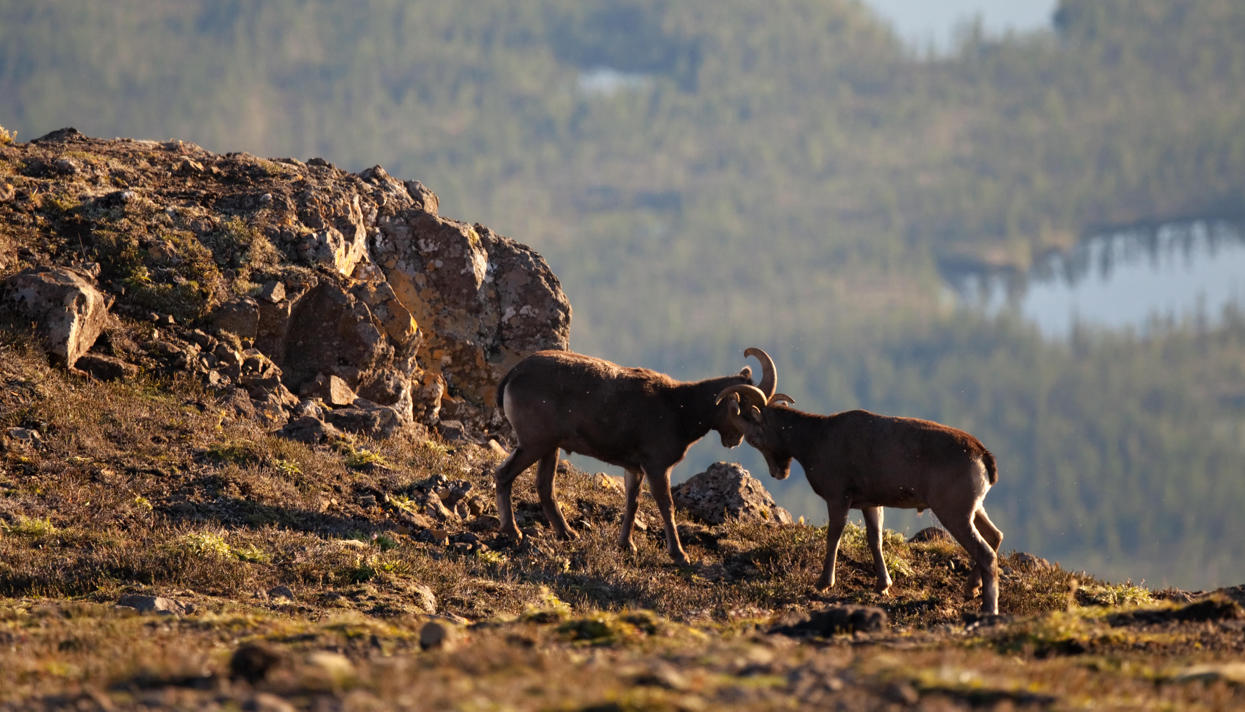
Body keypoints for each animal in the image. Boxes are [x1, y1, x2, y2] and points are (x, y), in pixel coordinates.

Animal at [493, 348, 776, 565]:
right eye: (746, 410)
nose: (735, 441)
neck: (680, 410)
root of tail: (513, 375)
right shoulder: (657, 467)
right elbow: (666, 506)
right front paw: (679, 555)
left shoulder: (635, 469)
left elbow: (632, 503)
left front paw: (627, 545)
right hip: (535, 444)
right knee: (504, 475)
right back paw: (513, 532)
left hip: (549, 448)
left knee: (544, 486)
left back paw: (568, 533)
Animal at [722, 373, 1000, 612]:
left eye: (754, 439)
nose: (778, 473)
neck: (816, 439)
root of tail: (983, 456)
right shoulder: (871, 504)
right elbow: (874, 539)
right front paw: (883, 586)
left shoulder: (838, 498)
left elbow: (834, 536)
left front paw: (824, 583)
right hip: (973, 509)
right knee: (995, 537)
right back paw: (970, 589)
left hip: (953, 513)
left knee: (986, 553)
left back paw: (988, 608)